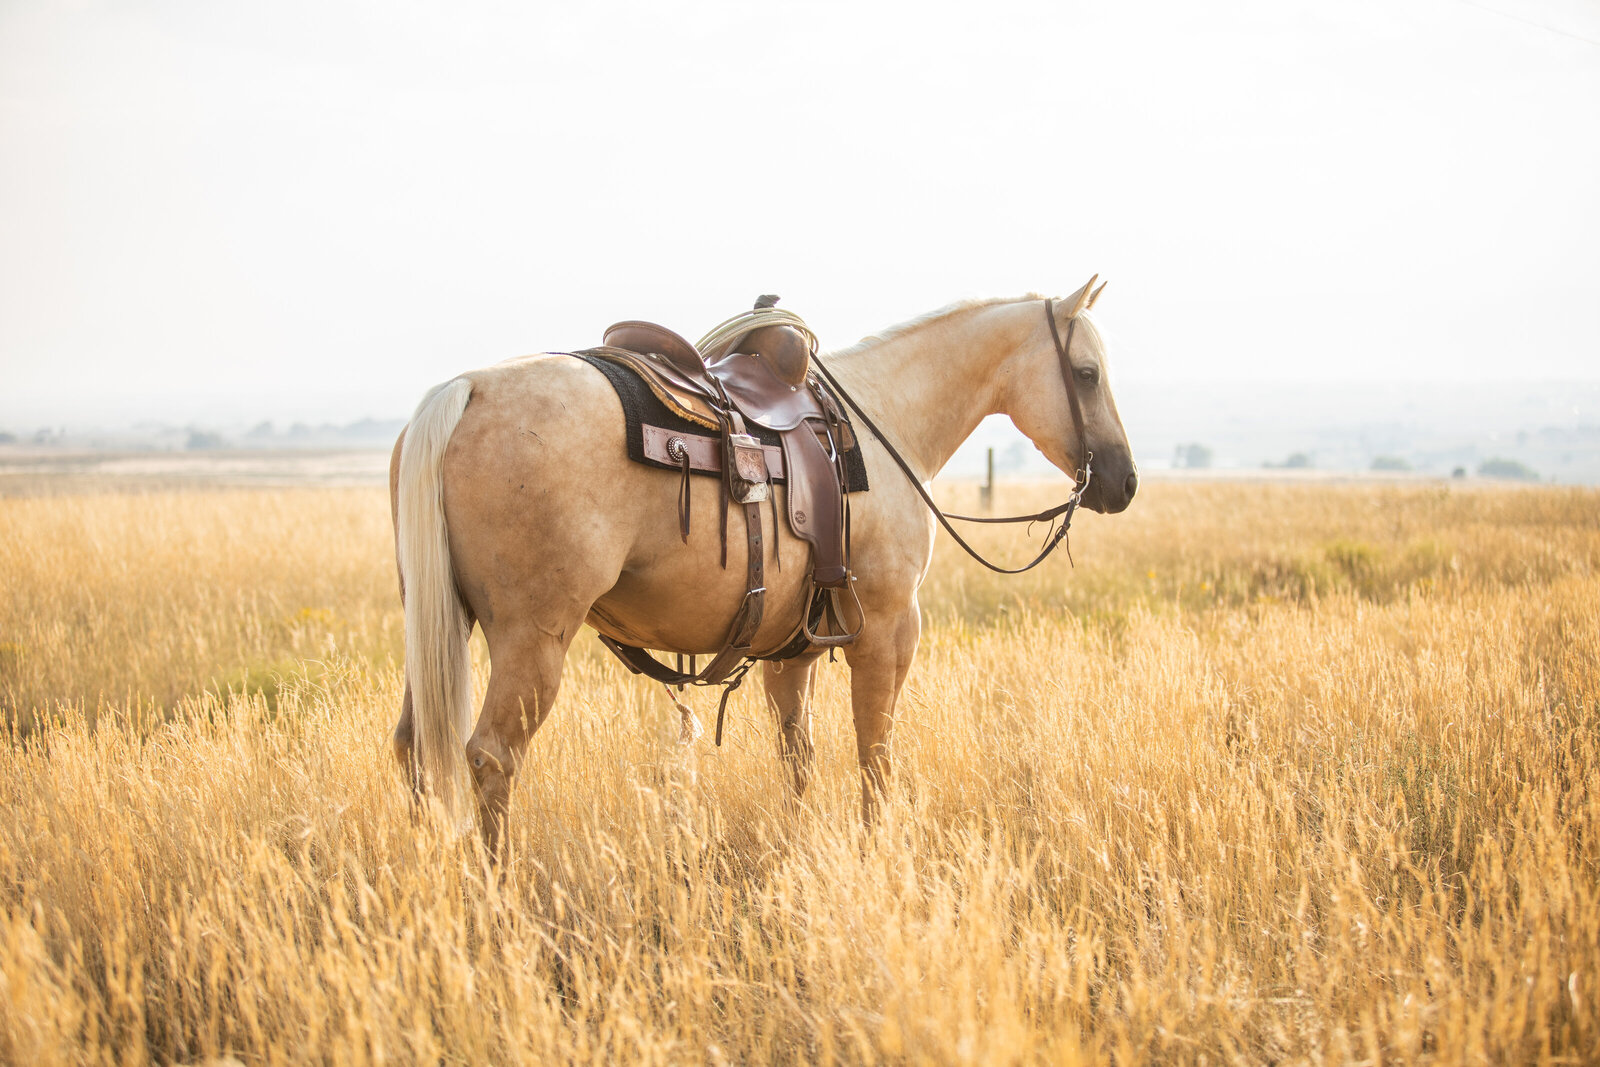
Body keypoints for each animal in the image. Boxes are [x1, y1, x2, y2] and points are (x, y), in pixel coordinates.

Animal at [387, 279, 1139, 844]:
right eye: (1086, 373)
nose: (1123, 482)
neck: (884, 422)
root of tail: (467, 389)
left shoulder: (792, 649)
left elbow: (797, 758)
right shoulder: (891, 629)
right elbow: (875, 751)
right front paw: (878, 844)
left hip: (439, 623)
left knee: (416, 748)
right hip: (533, 637)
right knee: (491, 754)